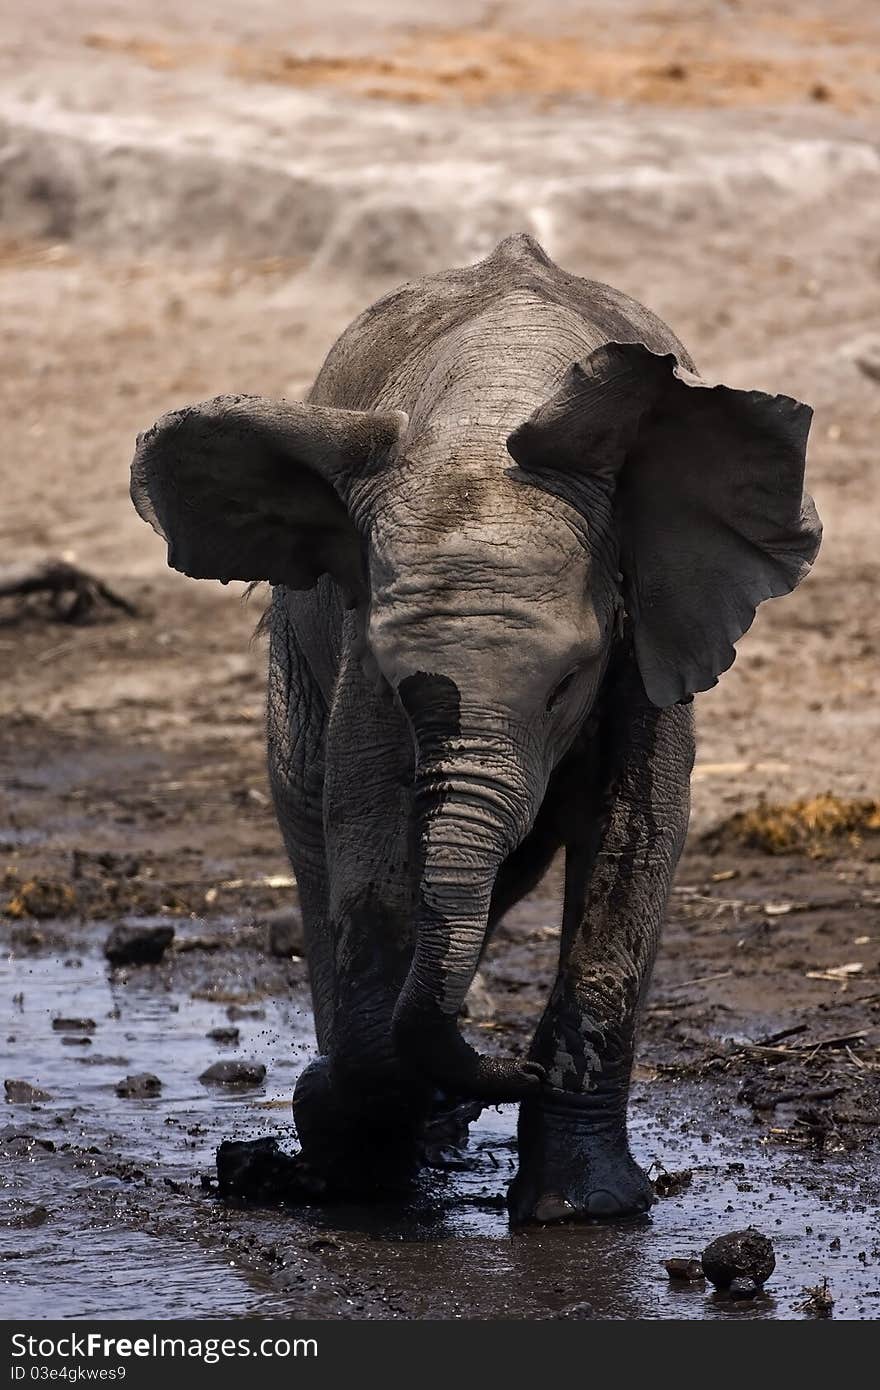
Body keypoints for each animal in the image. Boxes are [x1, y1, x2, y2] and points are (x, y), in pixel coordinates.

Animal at [130, 233, 817, 1223]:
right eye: (390, 673)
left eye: (569, 681)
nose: (513, 1069)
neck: (490, 418)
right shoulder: (365, 644)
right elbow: (369, 839)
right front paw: (354, 1135)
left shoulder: (650, 632)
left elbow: (640, 835)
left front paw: (584, 1212)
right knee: (318, 833)